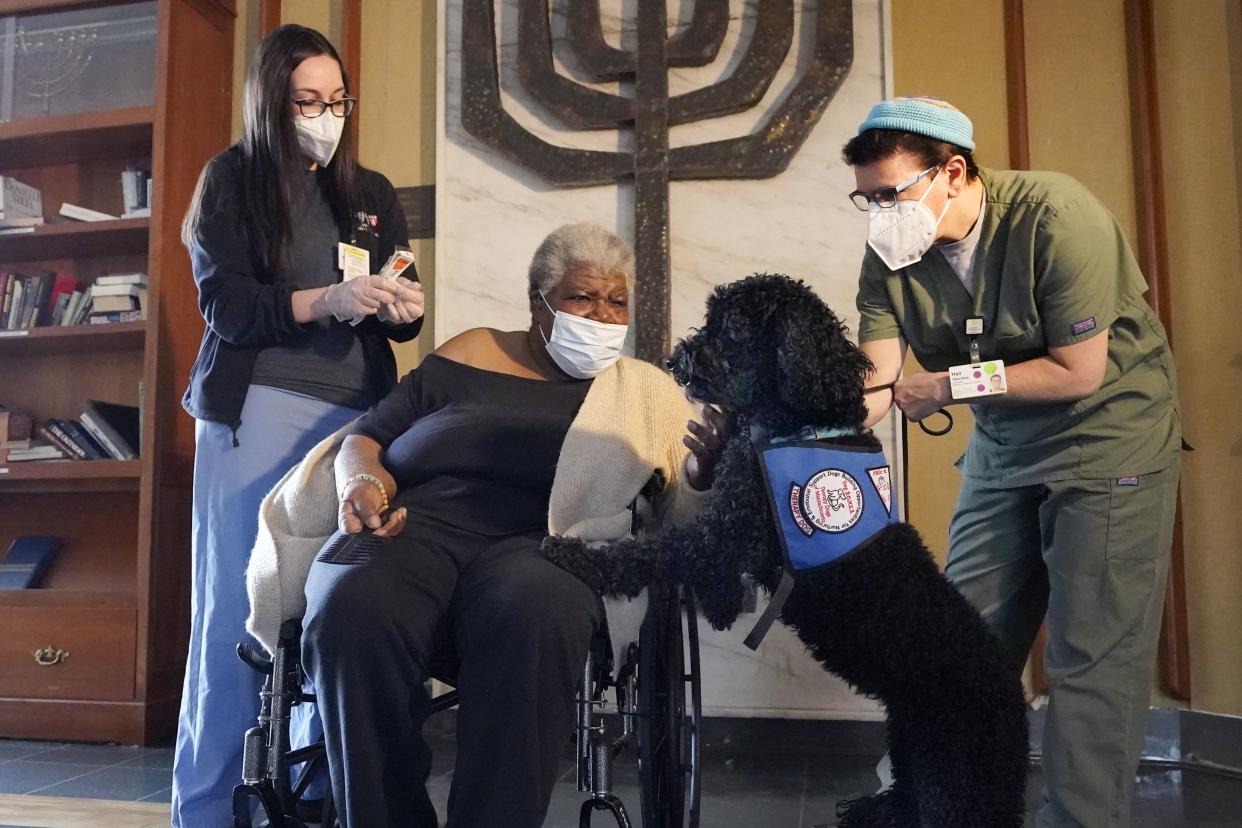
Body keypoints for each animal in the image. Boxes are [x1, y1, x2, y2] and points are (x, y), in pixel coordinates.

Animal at [543, 273, 1028, 828]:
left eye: (730, 328)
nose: (674, 360)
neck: (796, 419)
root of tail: (1014, 702)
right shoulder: (731, 543)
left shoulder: (722, 539)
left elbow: (650, 555)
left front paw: (573, 554)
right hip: (909, 736)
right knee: (906, 795)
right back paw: (870, 809)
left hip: (958, 769)